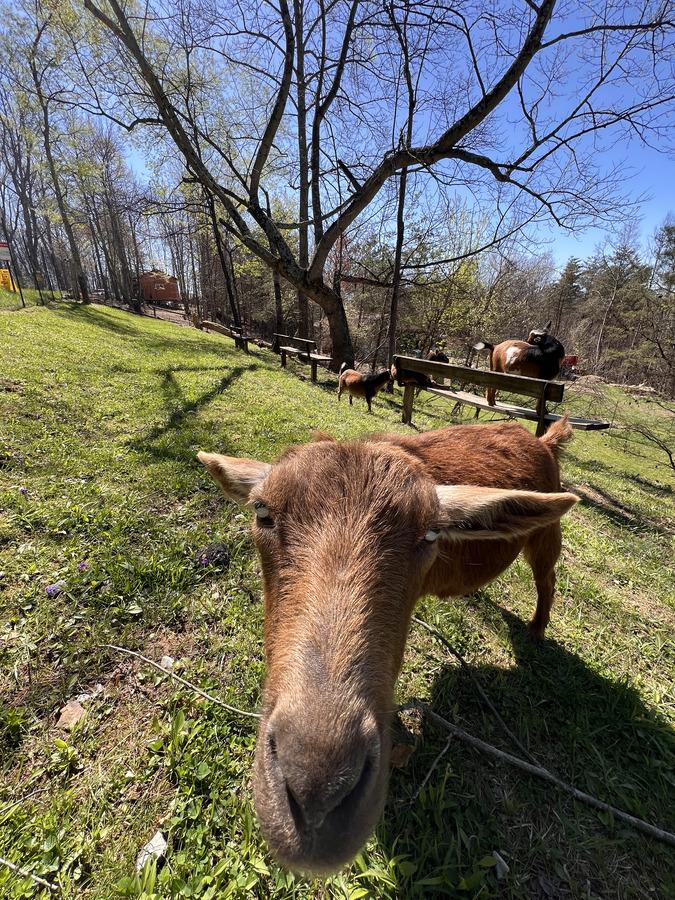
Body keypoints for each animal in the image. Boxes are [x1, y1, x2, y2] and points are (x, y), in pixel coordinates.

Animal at [198, 419, 577, 873]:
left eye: (431, 533)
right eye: (262, 513)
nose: (316, 798)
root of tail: (544, 440)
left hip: (546, 536)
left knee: (548, 578)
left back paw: (537, 631)